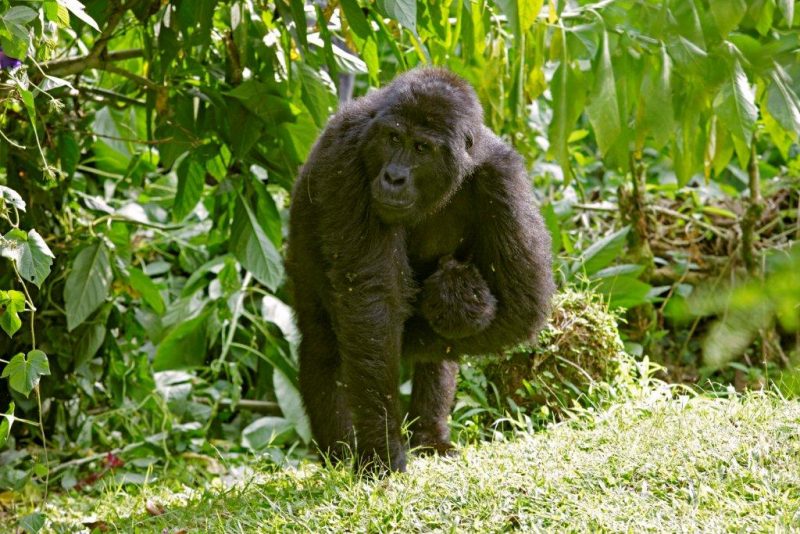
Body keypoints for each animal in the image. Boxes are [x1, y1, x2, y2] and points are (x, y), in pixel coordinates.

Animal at [288, 68, 556, 478]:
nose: (394, 178)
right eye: (393, 139)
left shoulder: (504, 179)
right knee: (321, 341)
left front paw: (454, 307)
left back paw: (430, 437)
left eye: (421, 149)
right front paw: (381, 449)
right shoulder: (345, 157)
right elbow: (372, 308)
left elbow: (521, 307)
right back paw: (339, 452)